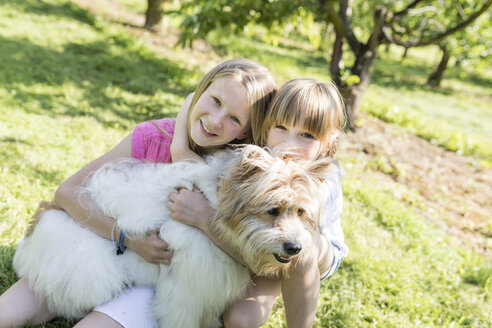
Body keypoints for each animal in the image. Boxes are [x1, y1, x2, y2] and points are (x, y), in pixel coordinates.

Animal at [15, 145, 338, 326]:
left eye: (301, 212)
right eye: (273, 210)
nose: (295, 248)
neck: (213, 205)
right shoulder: (186, 290)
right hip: (94, 272)